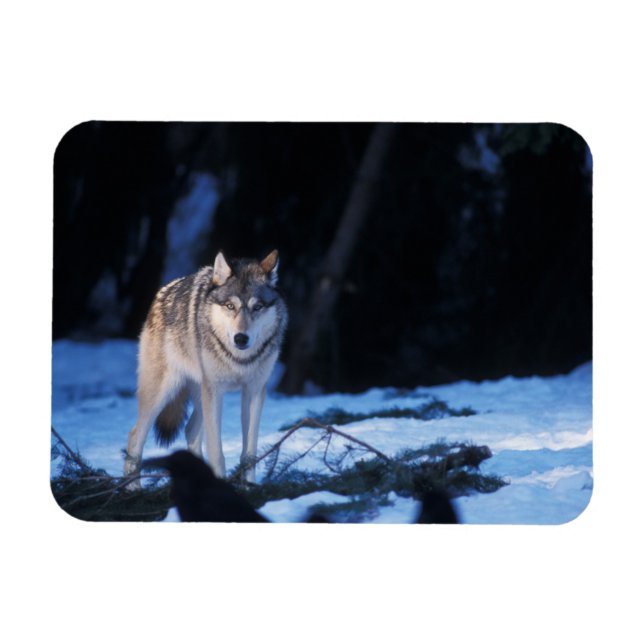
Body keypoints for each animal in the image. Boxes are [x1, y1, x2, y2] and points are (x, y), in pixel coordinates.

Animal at [124, 249, 287, 489]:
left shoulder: (254, 391)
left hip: (201, 396)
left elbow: (249, 453)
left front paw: (249, 487)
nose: (240, 338)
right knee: (135, 436)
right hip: (165, 393)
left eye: (257, 307)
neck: (238, 359)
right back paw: (132, 489)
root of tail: (162, 292)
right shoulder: (215, 391)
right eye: (230, 306)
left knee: (190, 430)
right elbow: (216, 451)